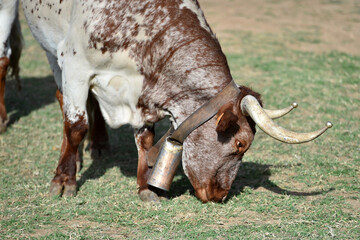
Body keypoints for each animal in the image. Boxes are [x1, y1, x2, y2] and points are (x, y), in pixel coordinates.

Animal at [21, 0, 332, 202]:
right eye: (241, 144)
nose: (220, 195)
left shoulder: (140, 95)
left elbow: (145, 140)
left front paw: (145, 188)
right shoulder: (75, 65)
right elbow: (75, 126)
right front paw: (64, 181)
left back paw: (98, 145)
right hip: (51, 51)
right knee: (65, 102)